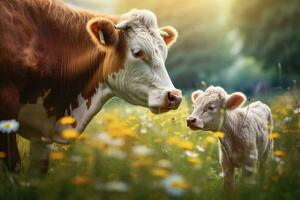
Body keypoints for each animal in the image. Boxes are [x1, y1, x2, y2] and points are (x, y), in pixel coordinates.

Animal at [0, 0, 182, 173]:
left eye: (164, 53)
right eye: (137, 52)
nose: (174, 96)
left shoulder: (43, 132)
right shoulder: (7, 104)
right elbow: (14, 166)